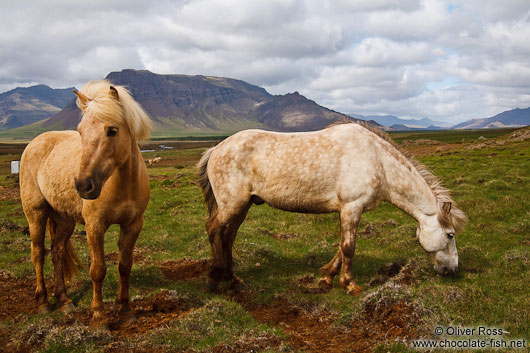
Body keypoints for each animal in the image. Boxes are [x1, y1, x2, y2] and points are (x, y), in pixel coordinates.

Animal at [19, 80, 152, 324]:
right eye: (80, 131)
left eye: (112, 130)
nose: (82, 185)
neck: (122, 185)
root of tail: (36, 141)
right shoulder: (94, 225)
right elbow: (97, 269)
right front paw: (99, 316)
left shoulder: (133, 225)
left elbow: (124, 266)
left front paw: (125, 311)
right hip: (36, 213)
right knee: (37, 253)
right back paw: (43, 302)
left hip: (64, 219)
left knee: (57, 252)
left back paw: (64, 301)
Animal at [198, 122, 466, 292]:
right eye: (450, 234)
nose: (453, 269)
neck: (378, 161)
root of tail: (216, 149)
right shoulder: (352, 206)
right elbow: (348, 247)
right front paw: (349, 284)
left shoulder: (350, 210)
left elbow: (341, 245)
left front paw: (327, 276)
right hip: (232, 204)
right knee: (213, 229)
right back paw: (213, 278)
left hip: (242, 206)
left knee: (228, 237)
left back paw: (234, 280)